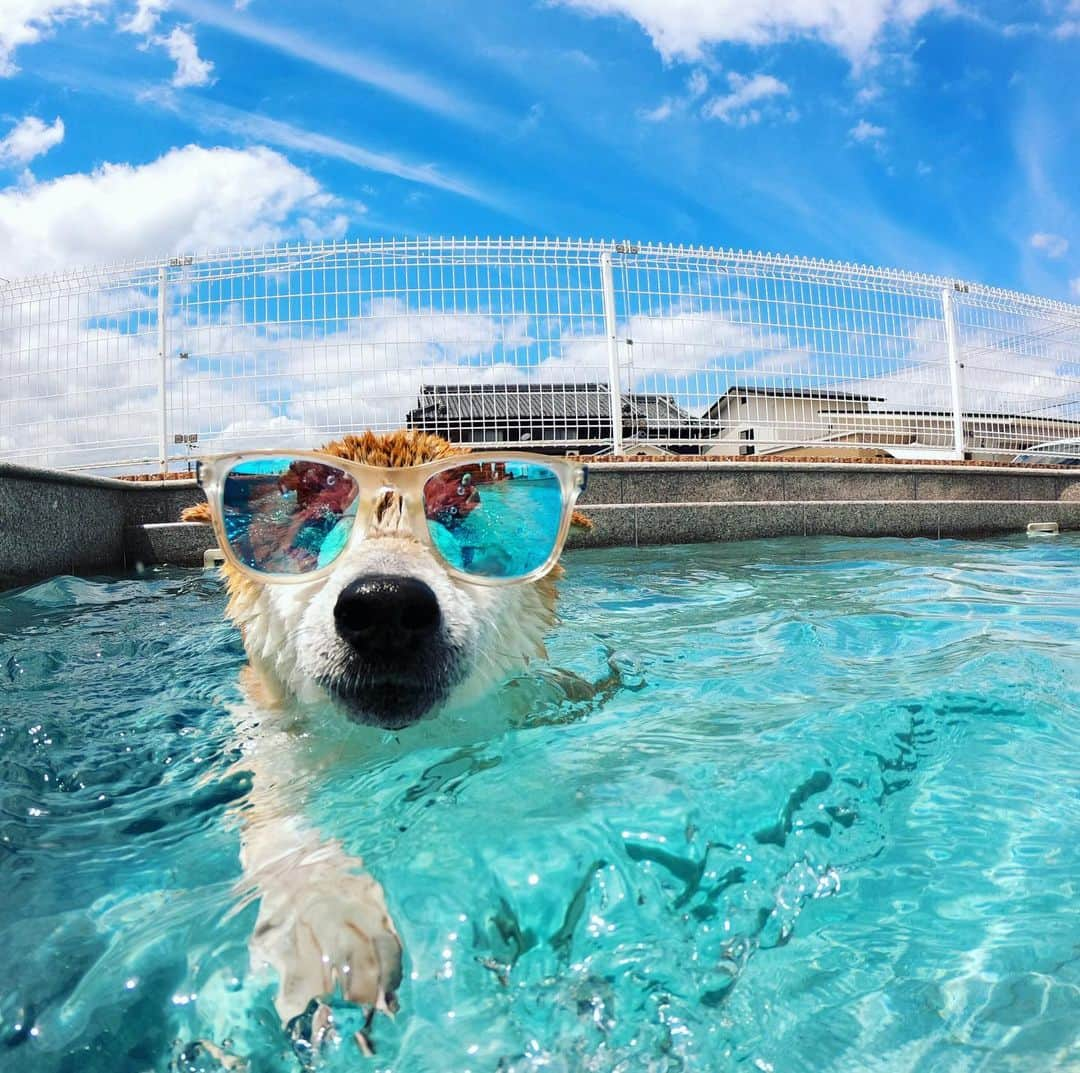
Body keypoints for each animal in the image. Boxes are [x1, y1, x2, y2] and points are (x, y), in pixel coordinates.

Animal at [182, 431, 596, 1049]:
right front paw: (330, 930)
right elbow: (279, 824)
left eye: (455, 522)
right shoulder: (270, 739)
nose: (385, 605)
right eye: (317, 524)